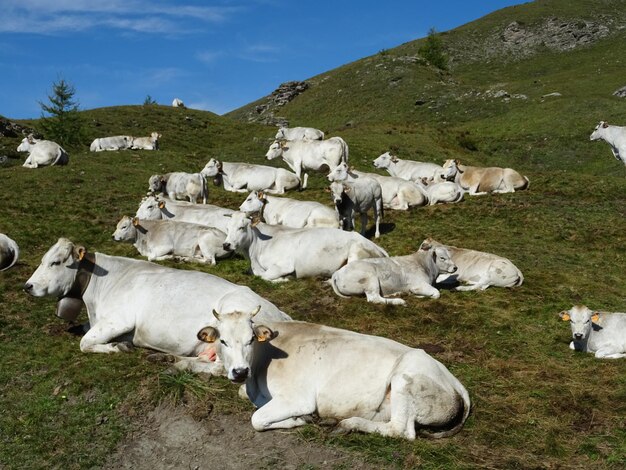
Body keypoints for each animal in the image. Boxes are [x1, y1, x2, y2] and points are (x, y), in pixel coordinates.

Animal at [195, 308, 468, 440]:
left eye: (251, 339)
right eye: (222, 340)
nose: (240, 371)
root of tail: (453, 379)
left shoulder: (298, 397)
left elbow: (257, 419)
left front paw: (301, 420)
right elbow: (244, 396)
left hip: (405, 377)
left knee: (401, 431)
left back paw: (346, 424)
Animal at [222, 212, 388, 282]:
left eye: (241, 227)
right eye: (227, 228)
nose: (226, 245)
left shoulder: (284, 265)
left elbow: (263, 276)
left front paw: (284, 279)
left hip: (356, 252)